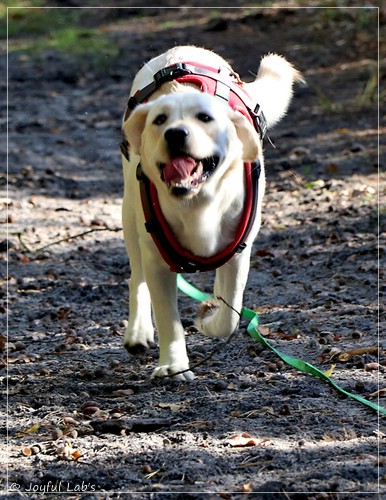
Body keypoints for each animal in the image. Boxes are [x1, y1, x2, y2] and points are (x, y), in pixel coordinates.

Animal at [120, 46, 302, 378]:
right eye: (159, 120)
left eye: (205, 118)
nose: (175, 134)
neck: (196, 203)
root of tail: (181, 49)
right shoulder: (156, 260)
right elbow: (167, 318)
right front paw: (173, 365)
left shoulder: (239, 251)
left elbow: (230, 314)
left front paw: (209, 315)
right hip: (130, 217)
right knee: (136, 278)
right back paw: (138, 331)